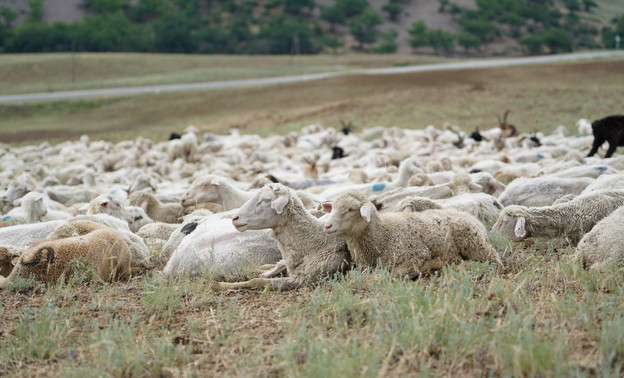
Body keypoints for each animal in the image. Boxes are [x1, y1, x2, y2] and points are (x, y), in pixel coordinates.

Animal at [322, 190, 502, 280]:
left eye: (350, 209)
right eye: (333, 208)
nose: (327, 225)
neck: (383, 235)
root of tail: (473, 219)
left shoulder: (418, 254)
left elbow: (393, 274)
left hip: (477, 246)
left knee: (494, 262)